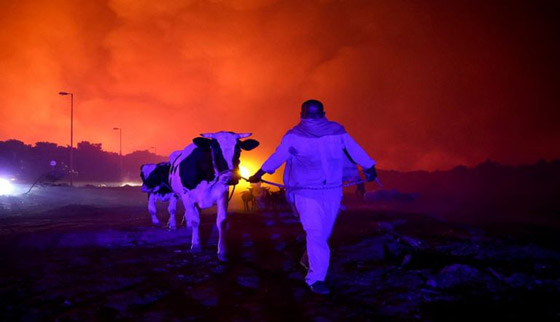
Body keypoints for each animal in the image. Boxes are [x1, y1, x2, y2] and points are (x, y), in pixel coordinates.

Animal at [170, 132, 260, 260]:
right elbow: (195, 221)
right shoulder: (188, 197)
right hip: (174, 194)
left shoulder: (222, 195)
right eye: (216, 150)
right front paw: (196, 246)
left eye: (239, 150)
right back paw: (174, 225)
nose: (230, 177)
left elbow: (221, 221)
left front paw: (222, 251)